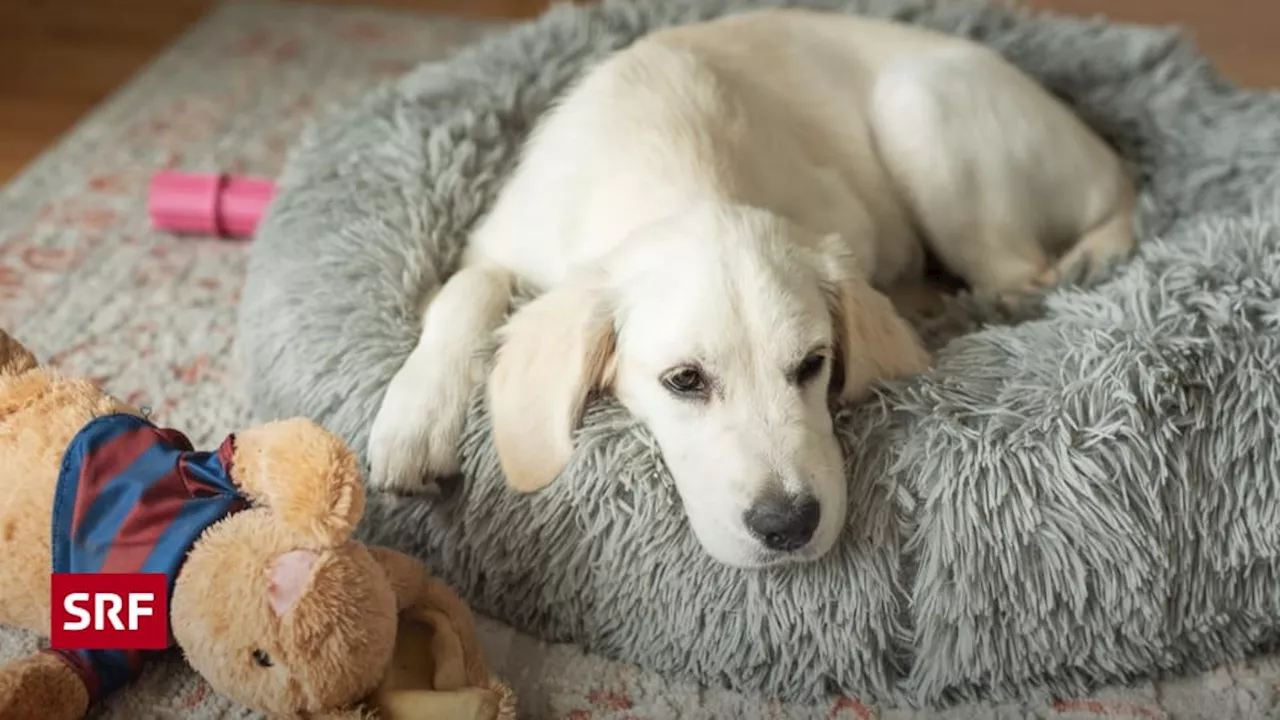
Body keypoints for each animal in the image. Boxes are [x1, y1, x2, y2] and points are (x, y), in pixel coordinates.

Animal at [366, 7, 1136, 566]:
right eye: (684, 380)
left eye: (813, 365)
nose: (788, 525)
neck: (675, 162)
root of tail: (1114, 169)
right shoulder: (497, 241)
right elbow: (465, 291)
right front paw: (414, 420)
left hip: (920, 108)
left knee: (1017, 277)